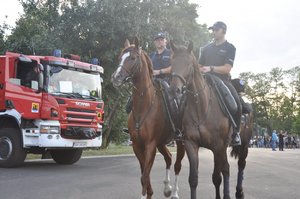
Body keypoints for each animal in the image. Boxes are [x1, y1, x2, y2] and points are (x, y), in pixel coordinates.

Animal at [110, 37, 185, 199]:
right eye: (120, 58)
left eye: (133, 58)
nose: (116, 77)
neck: (144, 106)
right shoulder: (137, 145)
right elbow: (144, 174)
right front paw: (149, 193)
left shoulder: (150, 145)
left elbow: (145, 175)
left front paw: (145, 195)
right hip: (161, 143)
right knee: (169, 158)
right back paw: (167, 188)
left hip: (180, 141)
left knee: (177, 165)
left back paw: (175, 192)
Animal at [169, 40, 253, 199]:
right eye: (172, 63)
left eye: (188, 64)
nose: (174, 90)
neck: (200, 108)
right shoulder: (191, 144)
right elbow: (195, 178)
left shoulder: (219, 145)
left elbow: (223, 172)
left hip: (244, 145)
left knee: (240, 165)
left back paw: (239, 192)